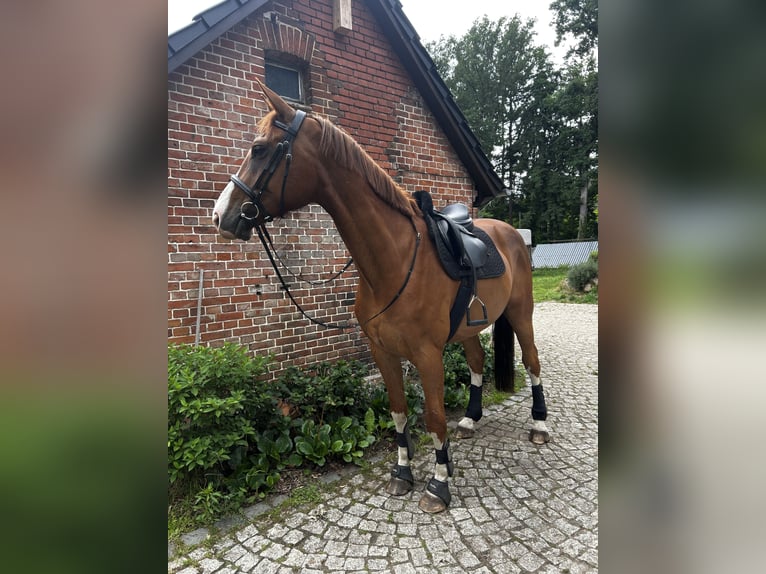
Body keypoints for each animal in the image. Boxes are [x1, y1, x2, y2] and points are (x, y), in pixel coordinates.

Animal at [212, 83, 549, 513]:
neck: (395, 260)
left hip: (522, 313)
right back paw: (471, 419)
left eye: (259, 149)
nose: (221, 216)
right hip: (468, 328)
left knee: (533, 361)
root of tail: (512, 233)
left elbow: (433, 417)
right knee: (476, 362)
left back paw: (539, 425)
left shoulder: (427, 355)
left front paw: (438, 485)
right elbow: (399, 413)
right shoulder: (383, 352)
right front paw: (403, 473)